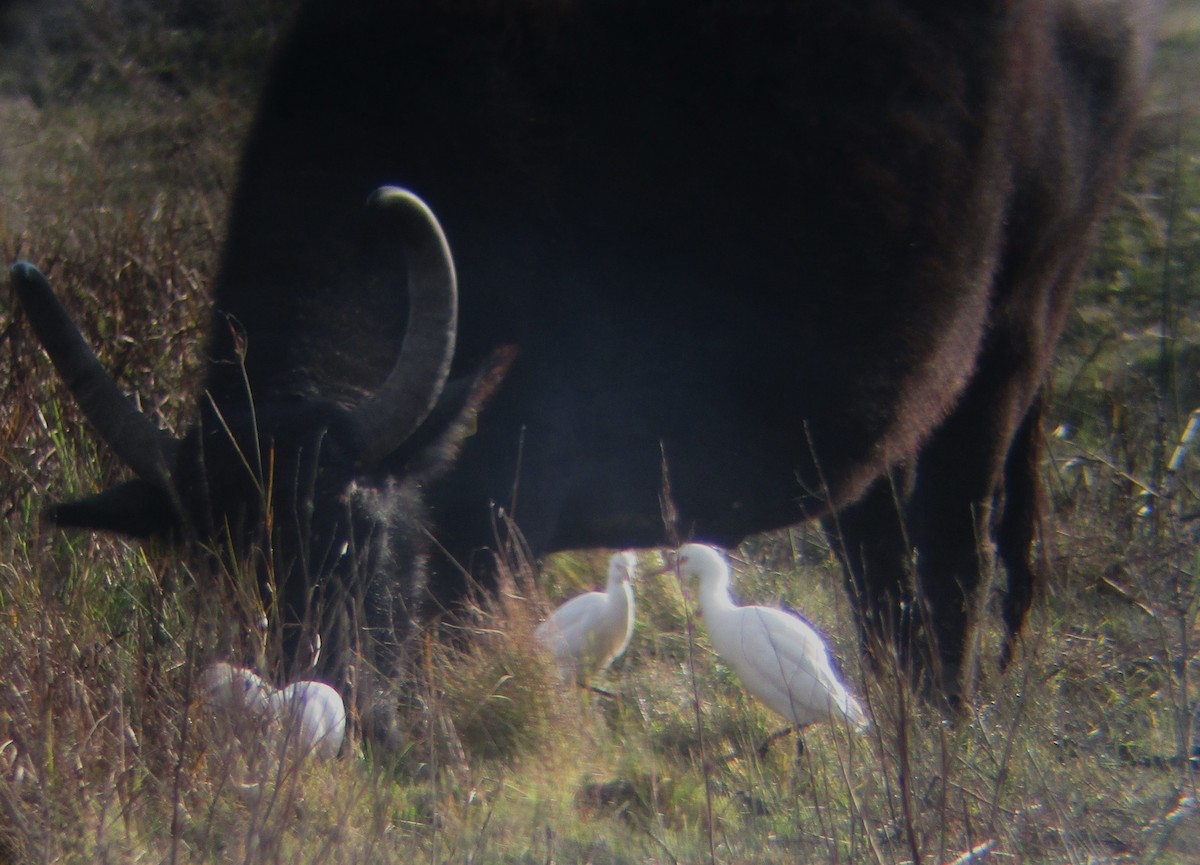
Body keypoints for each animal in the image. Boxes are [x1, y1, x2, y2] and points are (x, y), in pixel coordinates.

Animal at [14, 0, 1156, 729]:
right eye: (218, 564)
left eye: (350, 540)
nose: (324, 699)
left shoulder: (498, 522)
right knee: (881, 561)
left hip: (1020, 327)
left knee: (958, 549)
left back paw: (945, 725)